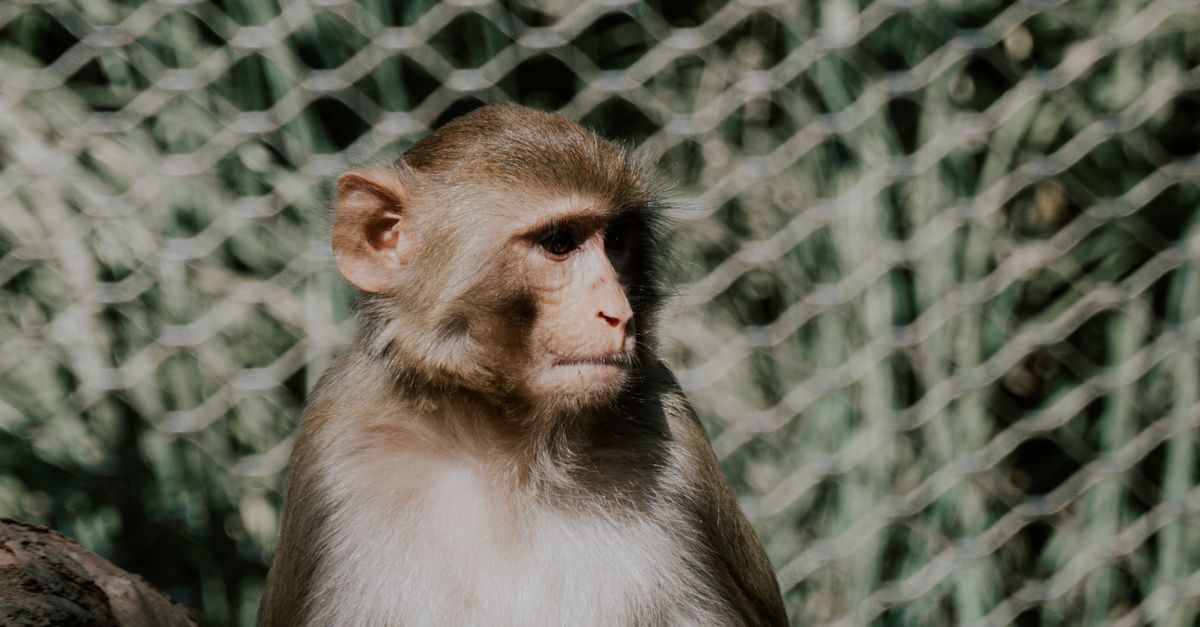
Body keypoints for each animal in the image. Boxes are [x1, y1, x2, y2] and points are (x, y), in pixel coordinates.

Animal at [258, 103, 787, 627]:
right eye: (559, 242)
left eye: (616, 240)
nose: (619, 313)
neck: (511, 448)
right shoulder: (335, 440)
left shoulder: (677, 436)